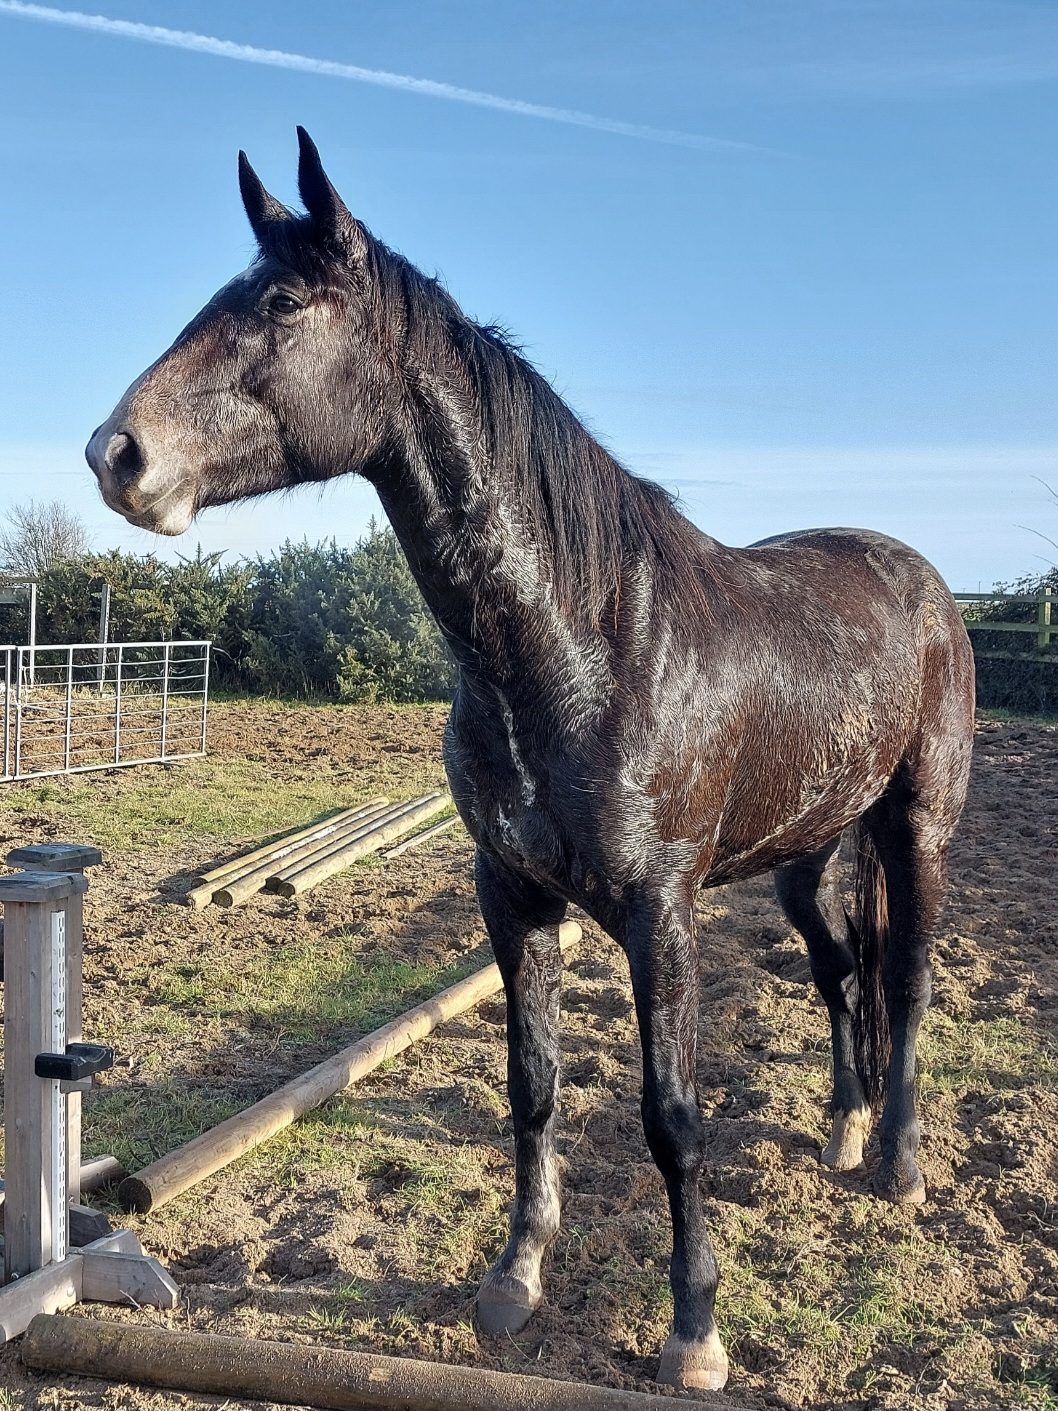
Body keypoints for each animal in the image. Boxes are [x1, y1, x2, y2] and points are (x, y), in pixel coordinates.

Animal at [86, 129, 975, 1391]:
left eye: (282, 302)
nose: (117, 453)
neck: (583, 642)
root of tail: (922, 581)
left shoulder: (661, 912)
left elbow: (672, 1116)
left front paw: (692, 1331)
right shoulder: (510, 891)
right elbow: (532, 1084)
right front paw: (514, 1278)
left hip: (914, 827)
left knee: (902, 977)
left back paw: (896, 1162)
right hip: (805, 855)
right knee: (837, 965)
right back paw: (844, 1127)